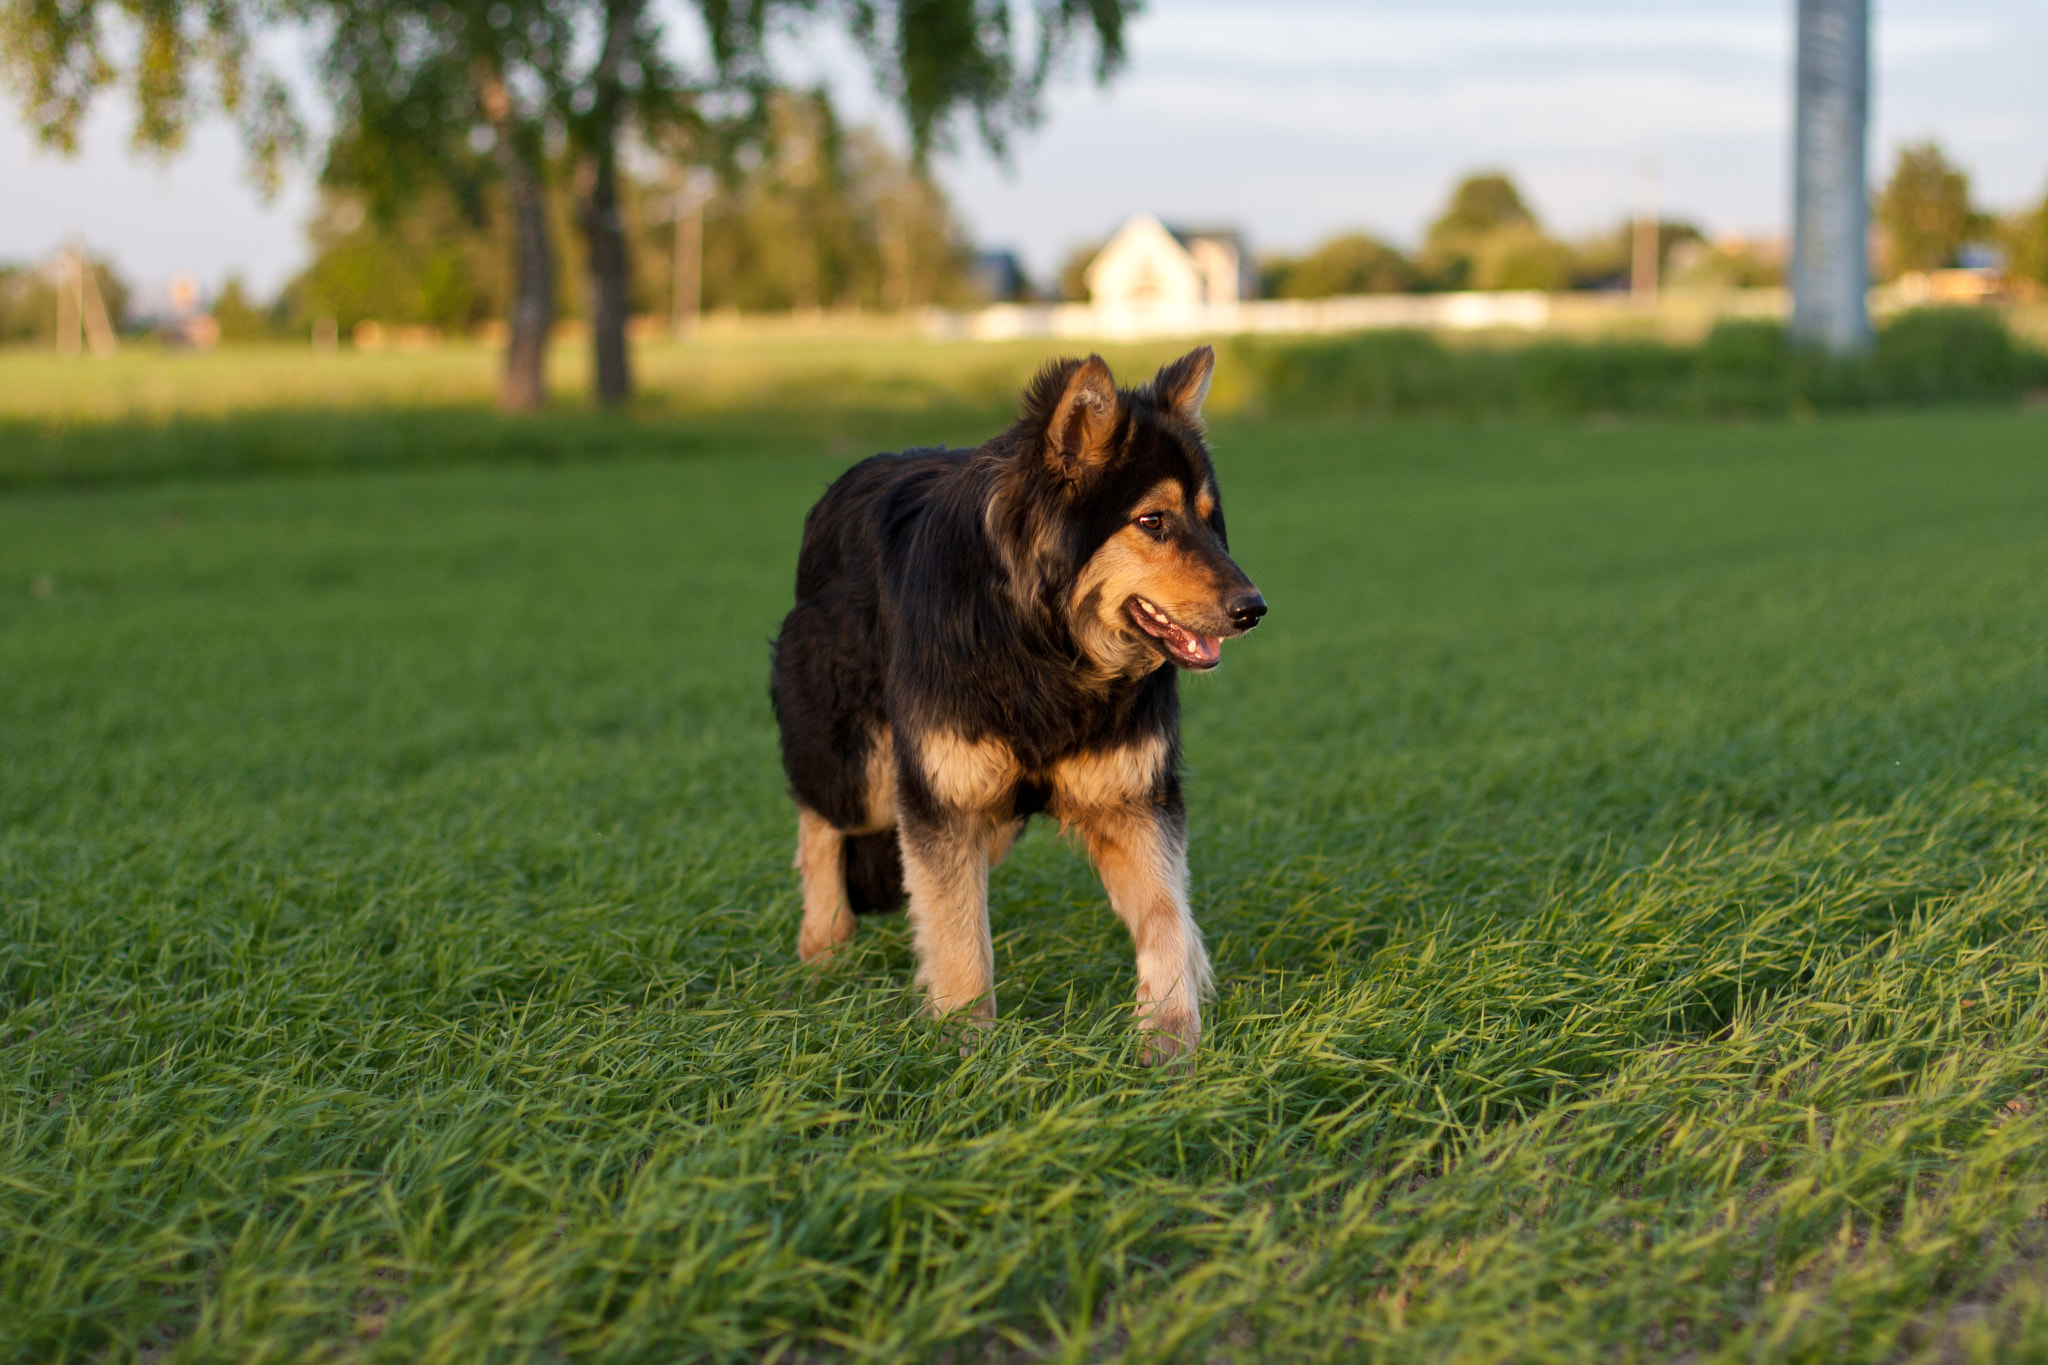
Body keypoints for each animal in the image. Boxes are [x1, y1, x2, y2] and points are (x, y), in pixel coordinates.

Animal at [770, 347, 1261, 1064]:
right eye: (1152, 521)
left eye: (1207, 517)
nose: (1254, 608)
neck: (1042, 646)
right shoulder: (941, 799)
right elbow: (959, 936)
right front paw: (964, 1046)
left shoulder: (1132, 799)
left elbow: (1168, 915)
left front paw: (1170, 1038)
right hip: (865, 768)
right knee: (821, 820)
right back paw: (824, 942)